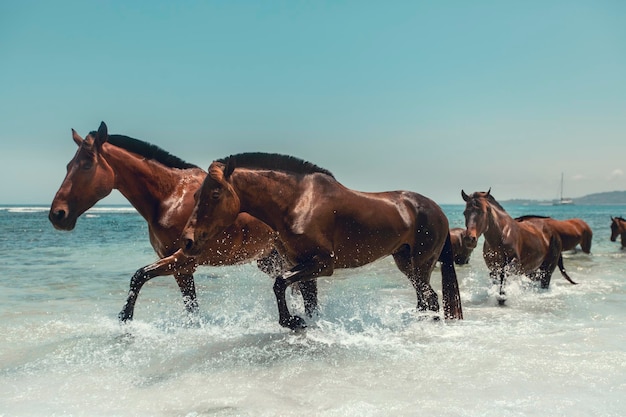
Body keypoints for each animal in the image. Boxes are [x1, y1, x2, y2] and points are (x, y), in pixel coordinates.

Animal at [48, 122, 316, 320]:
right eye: (68, 165)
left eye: (86, 165)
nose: (57, 215)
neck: (170, 196)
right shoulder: (182, 270)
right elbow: (190, 308)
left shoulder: (182, 261)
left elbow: (139, 276)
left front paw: (125, 318)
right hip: (269, 260)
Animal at [180, 151, 464, 330]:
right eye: (195, 195)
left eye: (215, 194)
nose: (187, 240)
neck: (298, 201)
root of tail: (439, 211)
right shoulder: (303, 266)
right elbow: (309, 303)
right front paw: (308, 324)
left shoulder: (322, 264)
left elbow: (279, 283)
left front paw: (292, 322)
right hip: (406, 263)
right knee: (425, 298)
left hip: (421, 264)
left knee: (431, 298)